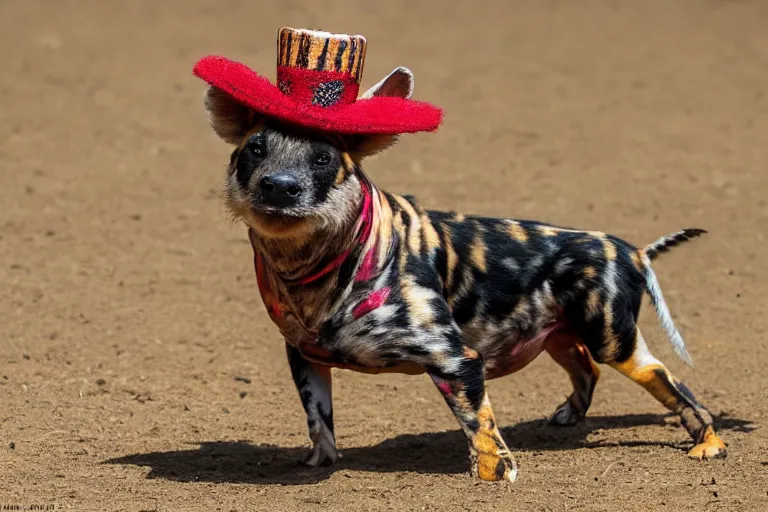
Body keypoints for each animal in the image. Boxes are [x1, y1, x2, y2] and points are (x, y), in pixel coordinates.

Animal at [202, 67, 728, 480]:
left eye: (324, 157)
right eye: (255, 149)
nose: (279, 187)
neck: (325, 275)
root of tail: (633, 250)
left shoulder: (456, 360)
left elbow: (482, 432)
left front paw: (493, 479)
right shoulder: (305, 357)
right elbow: (320, 424)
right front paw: (318, 463)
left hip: (614, 340)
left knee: (673, 386)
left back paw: (708, 446)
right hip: (559, 336)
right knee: (587, 369)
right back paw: (565, 418)